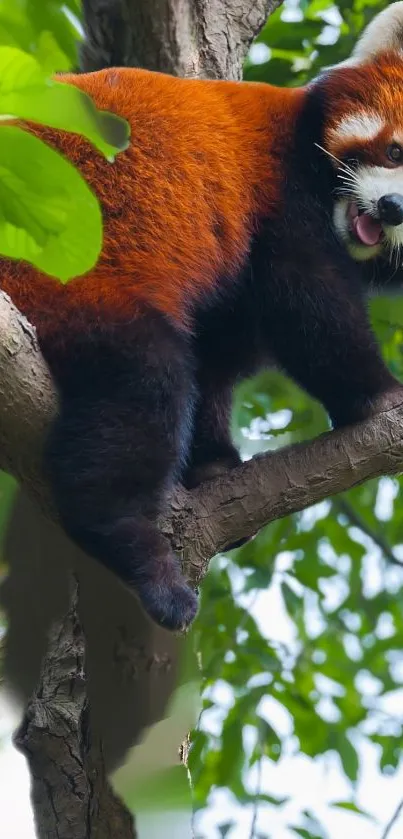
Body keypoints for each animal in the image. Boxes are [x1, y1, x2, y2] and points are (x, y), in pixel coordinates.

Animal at [3, 1, 403, 632]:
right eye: (395, 152)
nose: (393, 208)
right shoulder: (280, 196)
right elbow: (309, 306)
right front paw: (379, 396)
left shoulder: (229, 284)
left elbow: (219, 356)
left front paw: (211, 465)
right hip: (65, 287)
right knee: (144, 387)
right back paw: (141, 558)